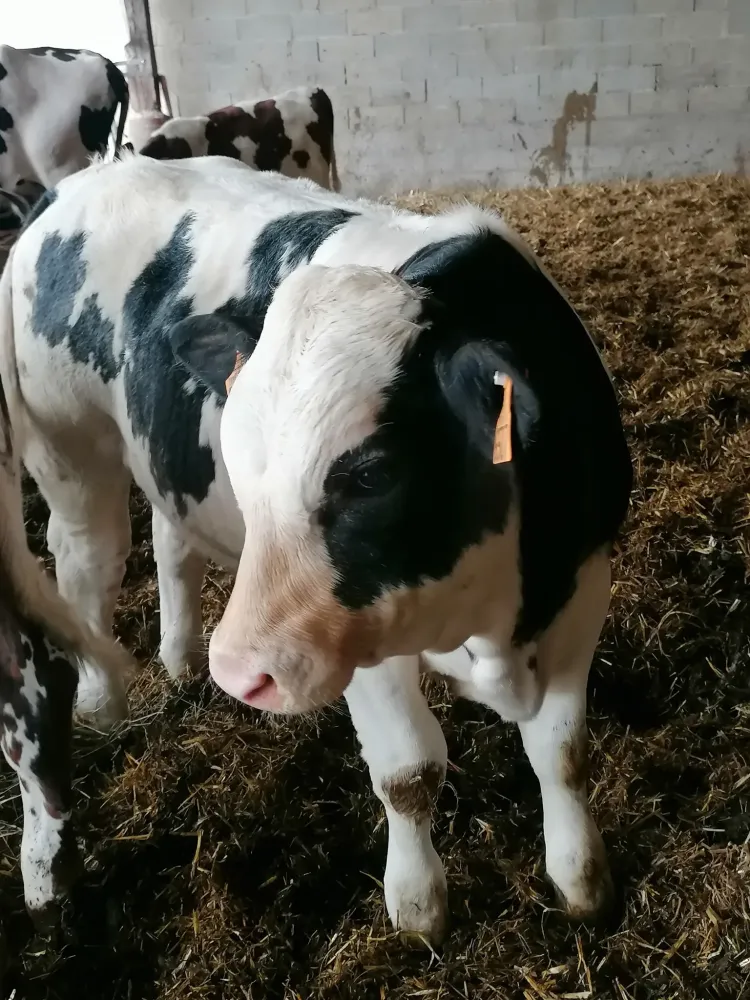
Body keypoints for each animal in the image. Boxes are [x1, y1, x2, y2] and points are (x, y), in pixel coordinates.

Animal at [0, 152, 632, 944]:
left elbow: (563, 754)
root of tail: (79, 181)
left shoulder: (580, 586)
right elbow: (409, 772)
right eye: (244, 458)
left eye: (371, 473)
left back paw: (180, 661)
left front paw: (583, 882)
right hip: (73, 460)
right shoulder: (355, 639)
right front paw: (418, 908)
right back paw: (100, 709)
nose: (240, 673)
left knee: (170, 540)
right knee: (88, 569)